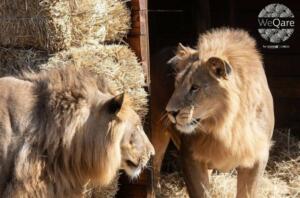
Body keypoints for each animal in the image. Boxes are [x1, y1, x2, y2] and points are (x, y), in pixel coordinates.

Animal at [152, 28, 274, 198]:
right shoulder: (190, 156)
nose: (170, 111)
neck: (226, 125)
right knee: (154, 162)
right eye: (176, 84)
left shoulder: (257, 156)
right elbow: (200, 193)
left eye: (195, 87)